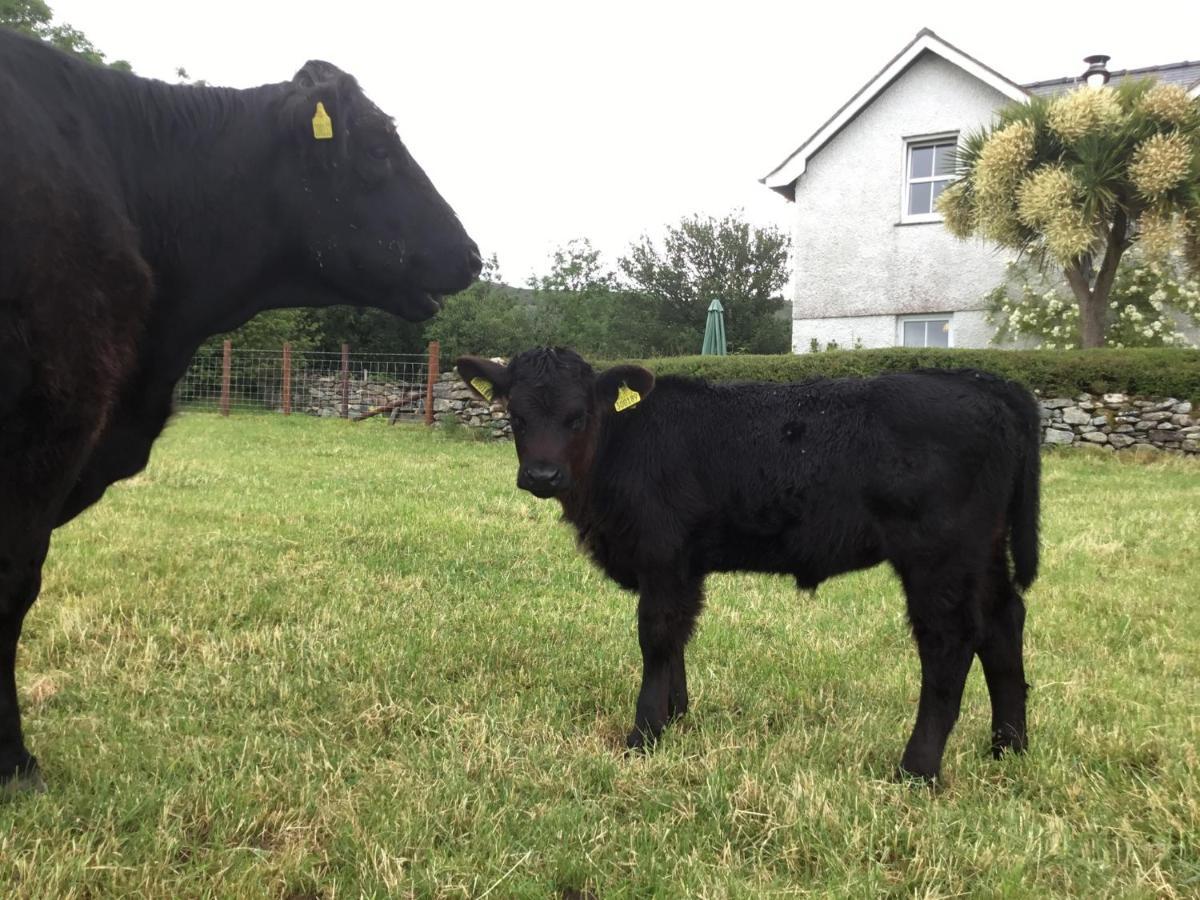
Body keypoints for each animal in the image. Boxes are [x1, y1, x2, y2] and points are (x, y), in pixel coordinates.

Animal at [458, 348, 1041, 787]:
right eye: (516, 416)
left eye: (578, 415)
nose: (542, 474)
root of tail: (982, 381)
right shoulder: (684, 566)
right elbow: (679, 637)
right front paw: (677, 717)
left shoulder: (663, 555)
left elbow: (656, 636)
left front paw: (644, 735)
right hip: (984, 551)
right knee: (1003, 623)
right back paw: (1009, 748)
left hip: (939, 556)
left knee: (948, 642)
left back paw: (917, 770)